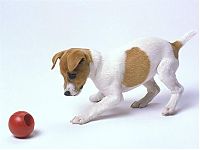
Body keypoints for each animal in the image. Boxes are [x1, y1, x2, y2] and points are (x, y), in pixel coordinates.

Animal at [50, 31, 196, 125]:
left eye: (72, 75)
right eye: (62, 76)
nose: (66, 93)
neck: (98, 65)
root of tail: (173, 44)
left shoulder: (115, 97)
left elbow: (97, 107)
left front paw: (82, 117)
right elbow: (101, 95)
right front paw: (97, 95)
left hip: (164, 71)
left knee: (178, 89)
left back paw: (169, 108)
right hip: (145, 74)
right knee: (155, 89)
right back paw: (142, 102)